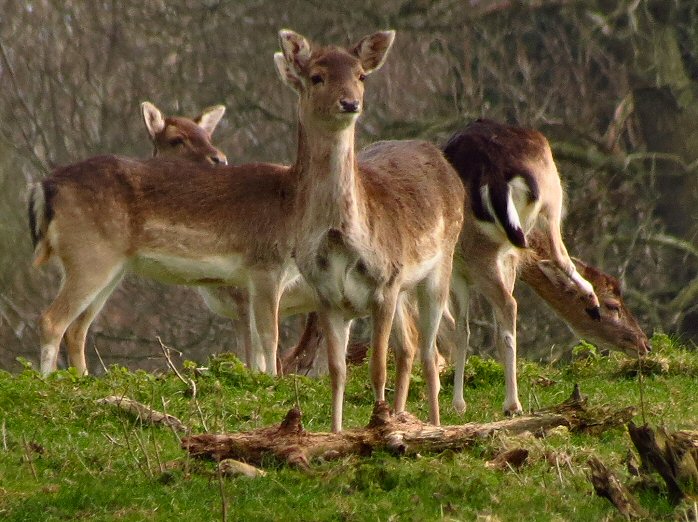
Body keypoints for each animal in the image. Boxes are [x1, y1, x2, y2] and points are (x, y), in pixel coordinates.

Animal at [274, 29, 464, 430]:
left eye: (361, 75)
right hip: (404, 287)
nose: (350, 102)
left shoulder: (384, 285)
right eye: (317, 76)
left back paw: (436, 424)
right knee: (409, 346)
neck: (340, 240)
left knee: (431, 352)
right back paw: (404, 414)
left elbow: (377, 367)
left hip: (440, 264)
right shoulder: (327, 296)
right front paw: (336, 432)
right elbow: (336, 371)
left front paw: (379, 425)